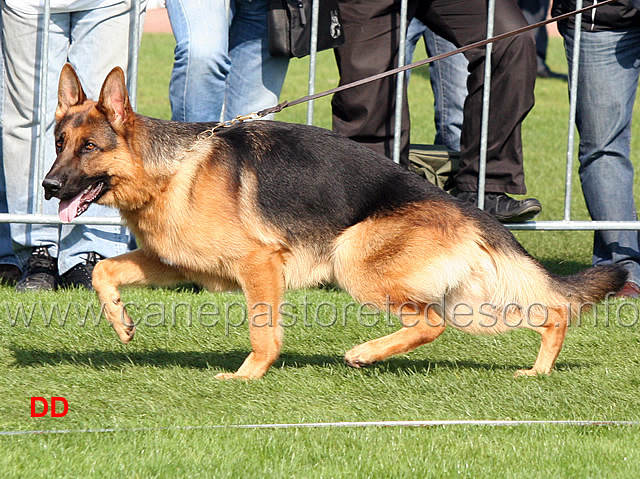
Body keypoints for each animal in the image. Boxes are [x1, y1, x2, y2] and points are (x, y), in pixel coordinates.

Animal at [42, 64, 628, 378]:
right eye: (58, 143)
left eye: (90, 148)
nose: (48, 187)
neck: (168, 168)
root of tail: (465, 205)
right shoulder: (179, 263)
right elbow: (104, 271)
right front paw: (121, 322)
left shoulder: (260, 264)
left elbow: (263, 333)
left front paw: (247, 376)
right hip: (472, 302)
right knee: (553, 311)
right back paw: (539, 370)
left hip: (355, 261)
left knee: (430, 323)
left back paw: (365, 353)